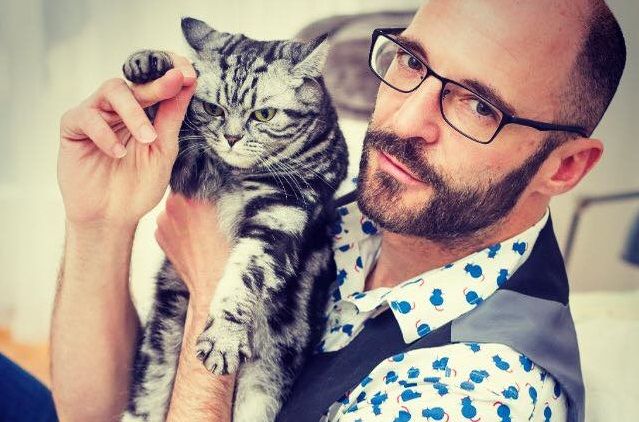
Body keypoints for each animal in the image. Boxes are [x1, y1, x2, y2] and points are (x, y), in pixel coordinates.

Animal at [120, 17, 348, 422]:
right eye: (213, 109)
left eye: (264, 115)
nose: (230, 138)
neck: (236, 175)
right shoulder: (188, 163)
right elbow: (165, 125)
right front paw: (152, 63)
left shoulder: (281, 215)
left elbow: (244, 277)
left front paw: (223, 338)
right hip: (159, 343)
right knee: (147, 396)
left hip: (263, 382)